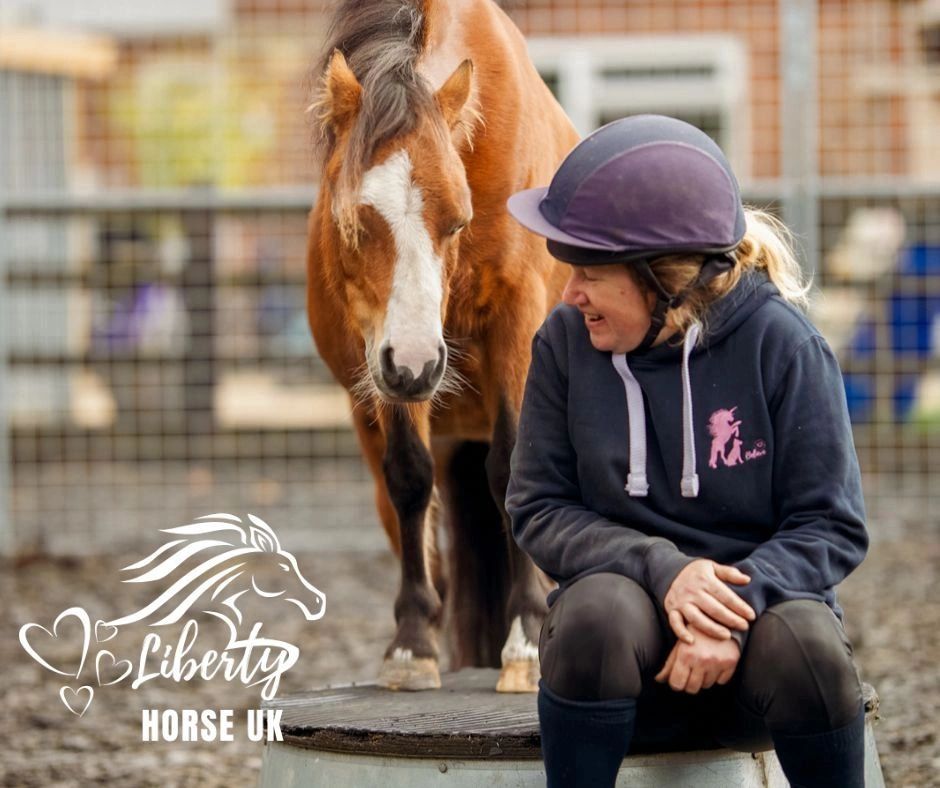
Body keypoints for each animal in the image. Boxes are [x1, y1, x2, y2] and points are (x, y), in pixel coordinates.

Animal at [306, 0, 579, 692]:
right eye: (353, 222)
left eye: (457, 220)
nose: (417, 365)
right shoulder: (381, 354)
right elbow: (409, 476)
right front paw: (411, 645)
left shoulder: (515, 323)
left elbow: (511, 469)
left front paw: (527, 639)